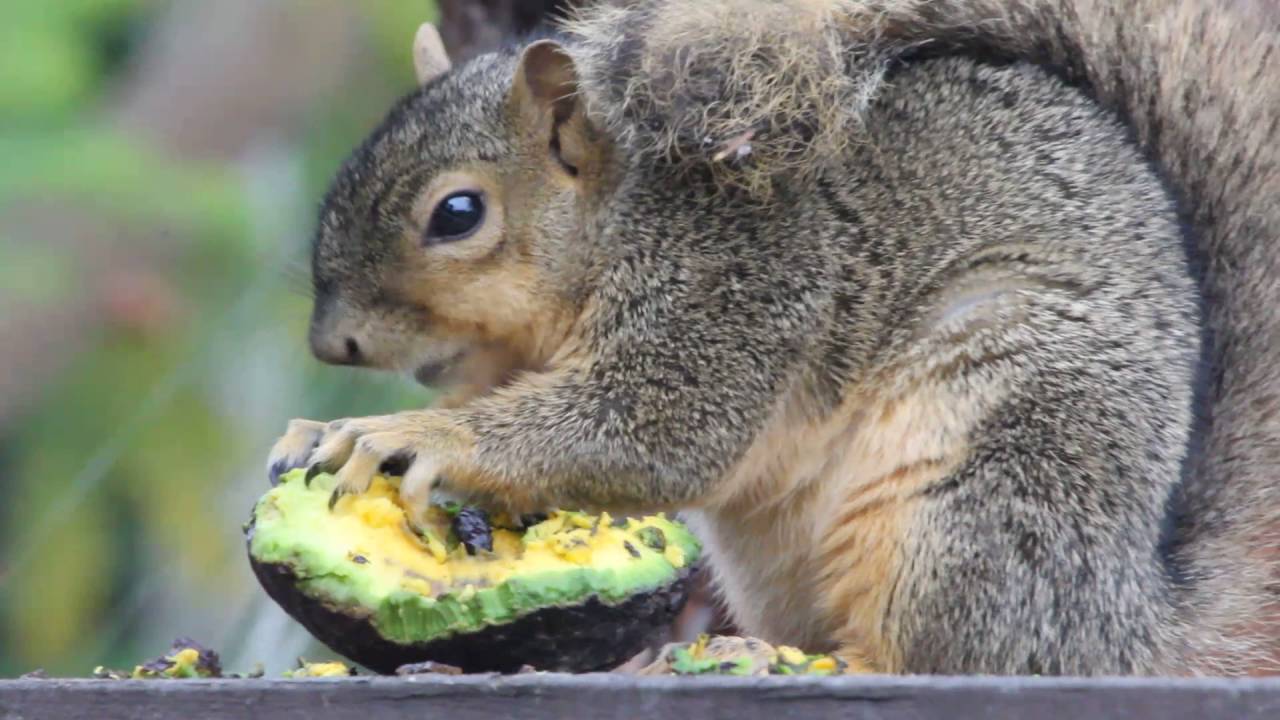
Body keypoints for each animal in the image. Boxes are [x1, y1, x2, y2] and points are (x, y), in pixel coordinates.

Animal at [267, 0, 1280, 676]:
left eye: (458, 214)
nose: (332, 346)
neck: (623, 217)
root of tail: (1132, 629)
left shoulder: (745, 281)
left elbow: (655, 429)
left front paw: (411, 438)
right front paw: (319, 433)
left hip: (995, 465)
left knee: (962, 656)